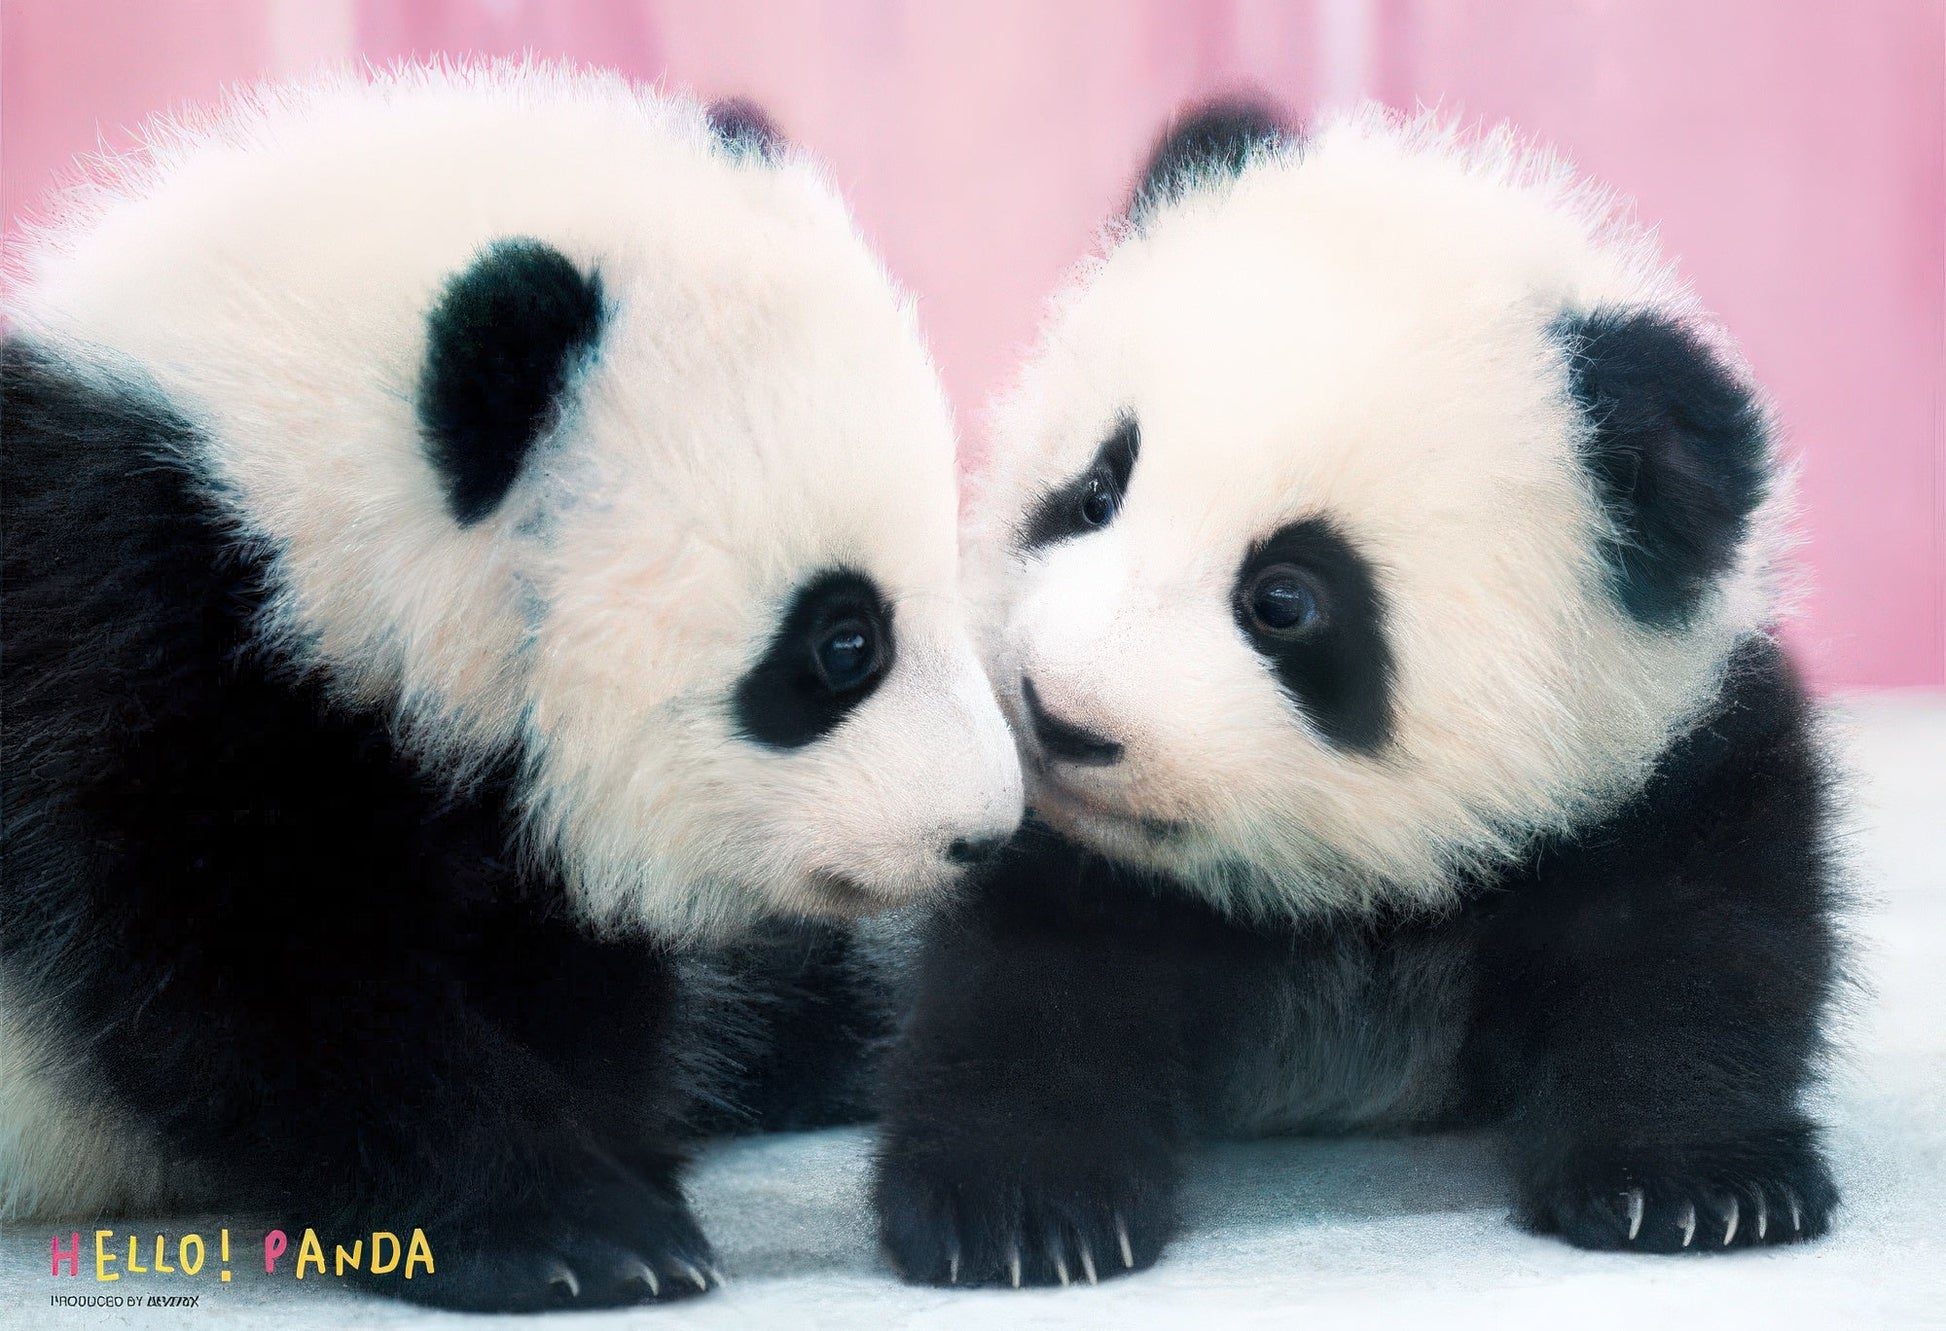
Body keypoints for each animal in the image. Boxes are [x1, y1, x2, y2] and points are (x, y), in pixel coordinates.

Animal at [0, 62, 1022, 1311]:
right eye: (842, 642)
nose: (983, 830)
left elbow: (567, 964)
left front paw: (617, 1164)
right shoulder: (118, 624)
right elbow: (245, 972)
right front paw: (567, 1225)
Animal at [872, 98, 1843, 1287]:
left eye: (1285, 598)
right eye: (1093, 491)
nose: (1057, 715)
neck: (1343, 892)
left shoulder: (1665, 763)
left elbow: (1693, 947)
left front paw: (1704, 1185)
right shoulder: (1046, 831)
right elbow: (1032, 975)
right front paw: (1019, 1211)